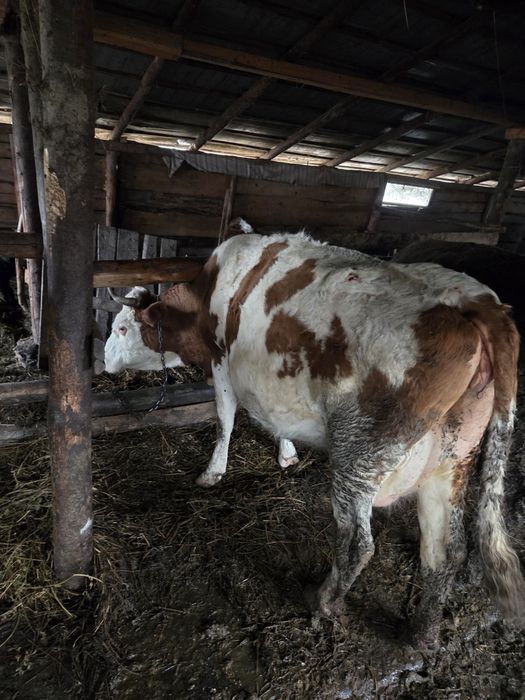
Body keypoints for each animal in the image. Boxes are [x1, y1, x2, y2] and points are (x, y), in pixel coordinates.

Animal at [105, 229, 524, 648]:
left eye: (122, 328)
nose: (105, 361)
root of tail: (477, 304)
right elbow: (276, 420)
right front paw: (287, 454)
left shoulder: (221, 362)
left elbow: (224, 418)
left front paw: (213, 472)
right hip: (453, 457)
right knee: (446, 548)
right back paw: (423, 634)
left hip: (361, 451)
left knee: (358, 543)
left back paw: (323, 602)